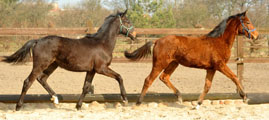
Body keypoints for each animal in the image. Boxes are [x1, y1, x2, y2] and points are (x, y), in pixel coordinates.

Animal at [2, 9, 135, 110]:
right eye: (127, 21)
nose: (134, 35)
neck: (102, 43)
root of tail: (37, 40)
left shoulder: (91, 70)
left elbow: (86, 87)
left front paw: (78, 106)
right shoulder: (101, 68)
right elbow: (119, 77)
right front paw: (125, 99)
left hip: (52, 65)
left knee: (42, 79)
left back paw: (55, 99)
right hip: (40, 64)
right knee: (28, 81)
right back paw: (18, 106)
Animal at [124, 10, 258, 109]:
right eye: (247, 22)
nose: (256, 35)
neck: (219, 41)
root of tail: (157, 41)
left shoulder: (211, 68)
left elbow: (207, 86)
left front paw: (198, 104)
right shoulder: (220, 65)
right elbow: (235, 77)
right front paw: (245, 97)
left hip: (173, 63)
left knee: (164, 77)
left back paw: (179, 96)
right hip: (160, 64)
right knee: (149, 80)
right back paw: (138, 102)